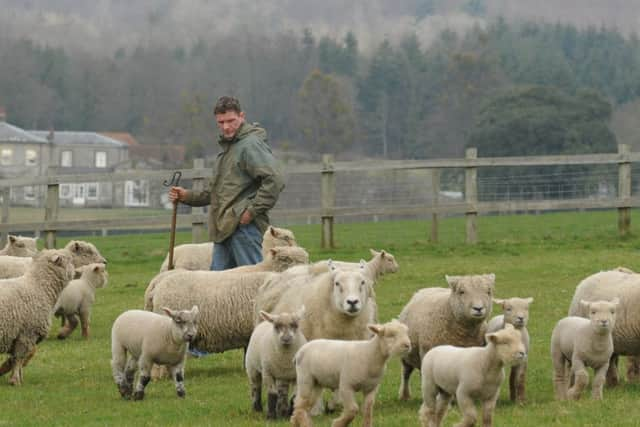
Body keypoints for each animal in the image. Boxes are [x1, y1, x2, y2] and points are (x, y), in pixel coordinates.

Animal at [0, 249, 74, 386]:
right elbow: (18, 359)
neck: (38, 287)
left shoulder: (18, 336)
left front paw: (19, 378)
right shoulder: (27, 334)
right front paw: (15, 380)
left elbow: (16, 360)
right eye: (69, 259)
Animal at [396, 274, 496, 402]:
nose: (478, 308)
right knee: (406, 374)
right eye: (461, 292)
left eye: (488, 292)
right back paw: (405, 395)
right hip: (407, 354)